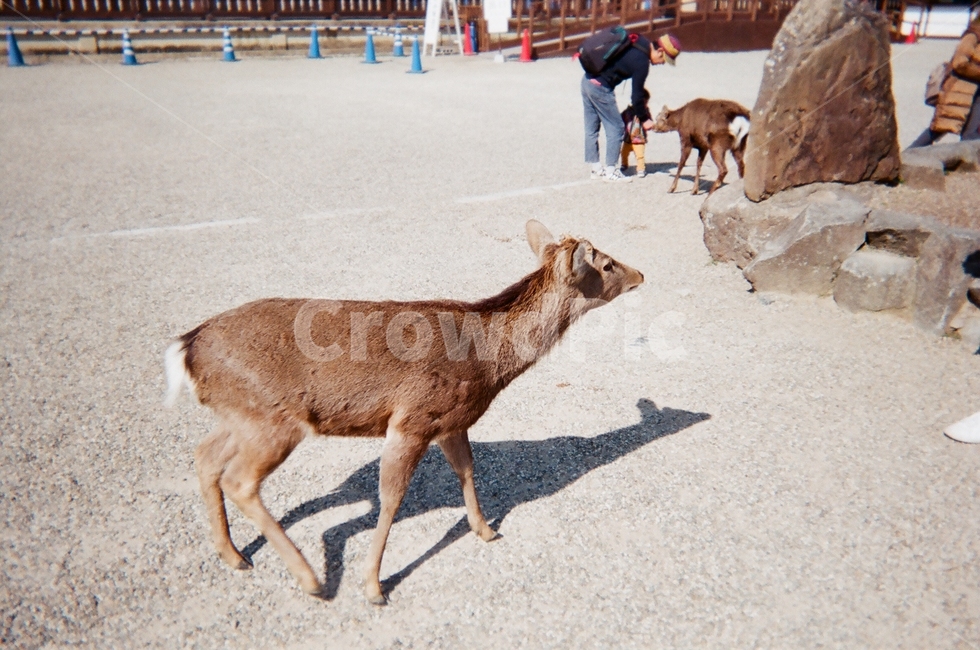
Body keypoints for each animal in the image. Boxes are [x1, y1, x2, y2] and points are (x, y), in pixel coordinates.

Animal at [164, 220, 644, 605]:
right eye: (606, 265)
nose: (641, 273)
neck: (487, 365)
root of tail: (187, 347)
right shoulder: (412, 419)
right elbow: (392, 498)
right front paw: (373, 586)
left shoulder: (451, 422)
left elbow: (467, 470)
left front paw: (485, 530)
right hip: (274, 419)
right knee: (239, 480)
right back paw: (310, 579)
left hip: (239, 415)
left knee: (205, 456)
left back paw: (233, 555)